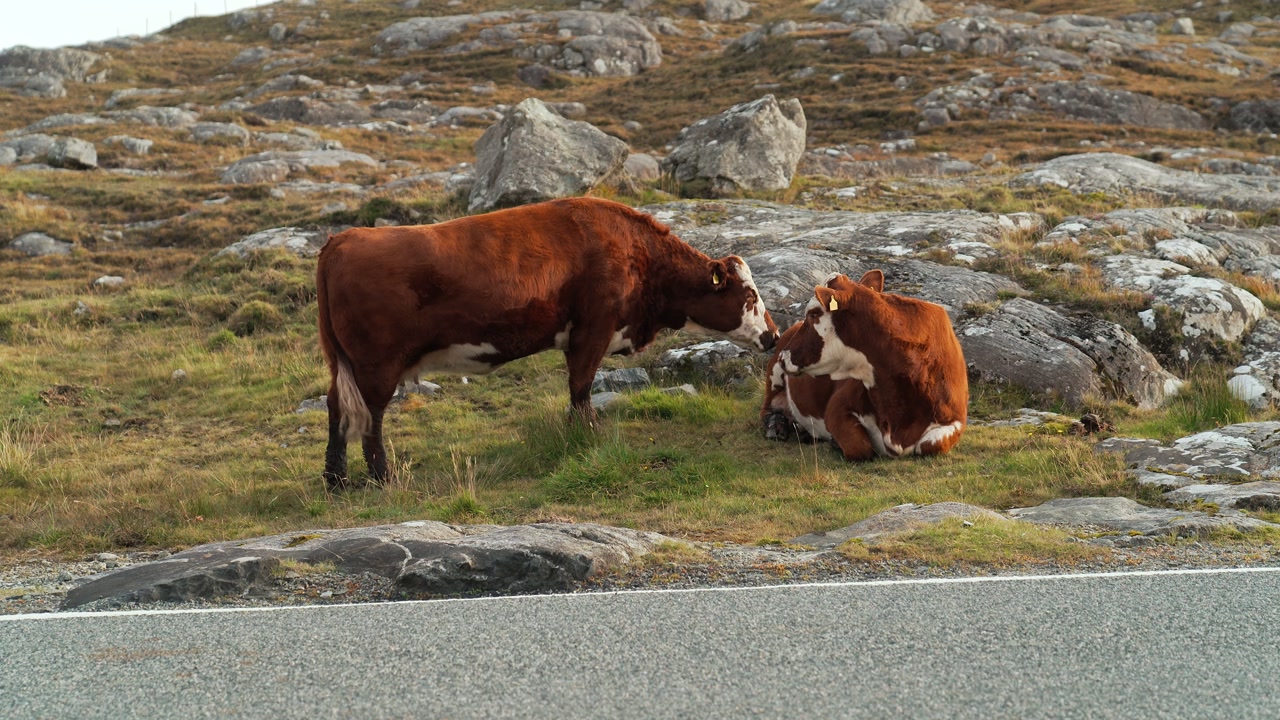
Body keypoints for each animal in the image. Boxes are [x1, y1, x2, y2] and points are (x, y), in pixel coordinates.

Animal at [316, 197, 779, 489]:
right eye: (750, 296)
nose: (774, 335)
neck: (635, 252)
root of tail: (342, 239)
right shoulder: (592, 331)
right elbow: (581, 387)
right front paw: (589, 433)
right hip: (377, 366)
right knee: (371, 419)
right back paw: (382, 478)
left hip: (346, 366)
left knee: (337, 409)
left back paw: (336, 480)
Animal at [761, 270, 968, 461]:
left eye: (812, 314)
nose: (784, 356)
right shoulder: (837, 407)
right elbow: (860, 447)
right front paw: (837, 443)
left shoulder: (955, 419)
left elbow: (931, 445)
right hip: (774, 378)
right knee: (767, 410)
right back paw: (777, 426)